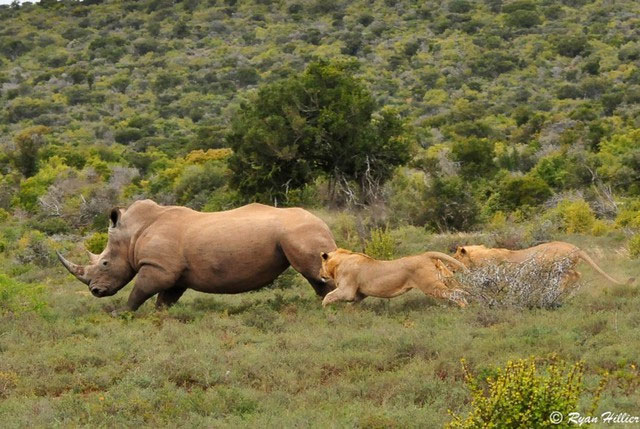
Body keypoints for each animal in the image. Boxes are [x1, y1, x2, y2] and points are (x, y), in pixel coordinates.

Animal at [57, 199, 337, 311]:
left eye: (105, 263)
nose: (95, 291)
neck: (132, 235)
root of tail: (322, 220)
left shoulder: (158, 267)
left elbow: (139, 291)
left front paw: (121, 313)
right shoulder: (173, 272)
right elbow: (165, 299)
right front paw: (160, 316)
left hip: (299, 231)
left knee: (313, 271)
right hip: (301, 231)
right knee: (316, 276)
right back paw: (324, 305)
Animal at [319, 248, 468, 307]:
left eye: (321, 264)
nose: (319, 273)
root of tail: (425, 255)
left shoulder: (347, 290)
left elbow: (328, 297)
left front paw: (325, 310)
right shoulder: (359, 293)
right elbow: (352, 305)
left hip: (431, 286)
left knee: (455, 293)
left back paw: (463, 308)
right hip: (445, 278)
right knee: (461, 289)